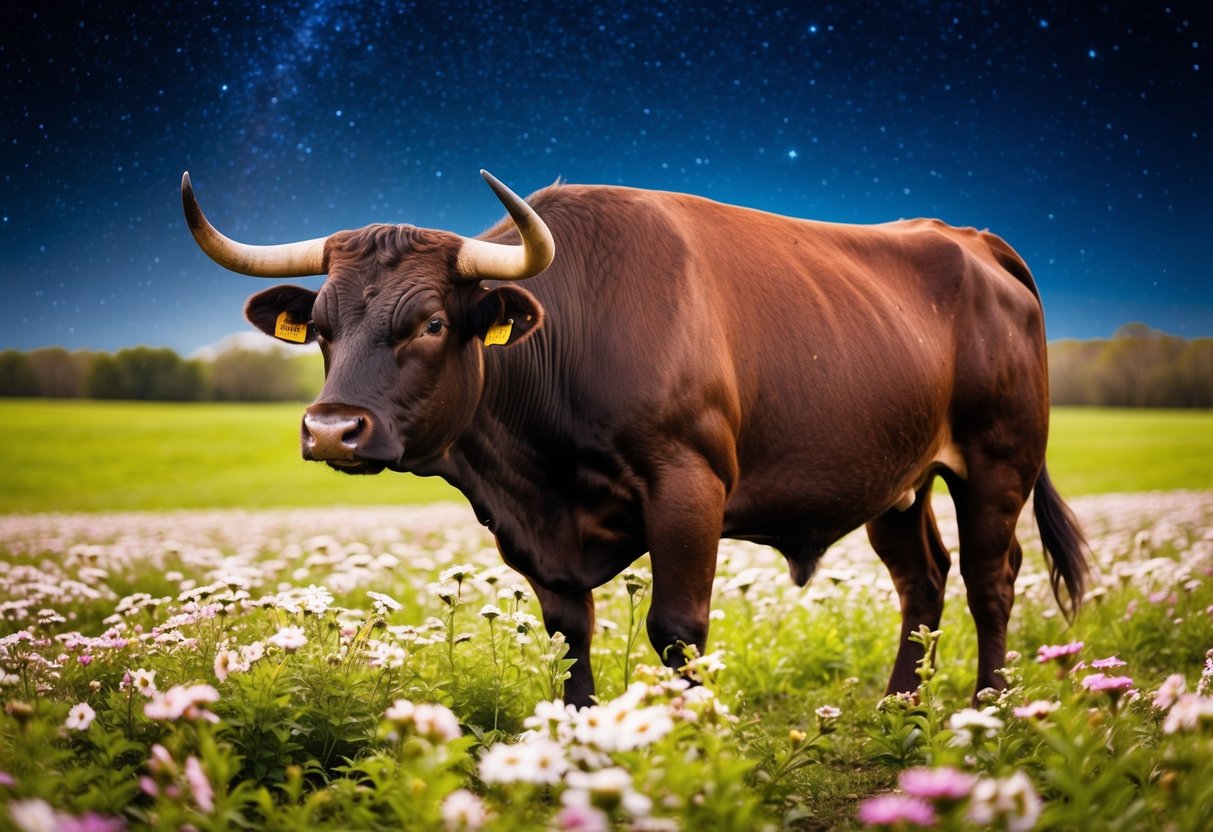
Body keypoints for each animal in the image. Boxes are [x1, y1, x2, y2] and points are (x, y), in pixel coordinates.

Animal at [179, 172, 1091, 708]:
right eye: (321, 329)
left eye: (432, 322)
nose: (331, 429)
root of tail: (965, 239)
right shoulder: (534, 536)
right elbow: (566, 634)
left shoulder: (687, 487)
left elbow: (677, 629)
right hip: (892, 480)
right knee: (921, 582)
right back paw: (899, 704)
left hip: (996, 463)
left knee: (989, 580)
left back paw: (984, 708)